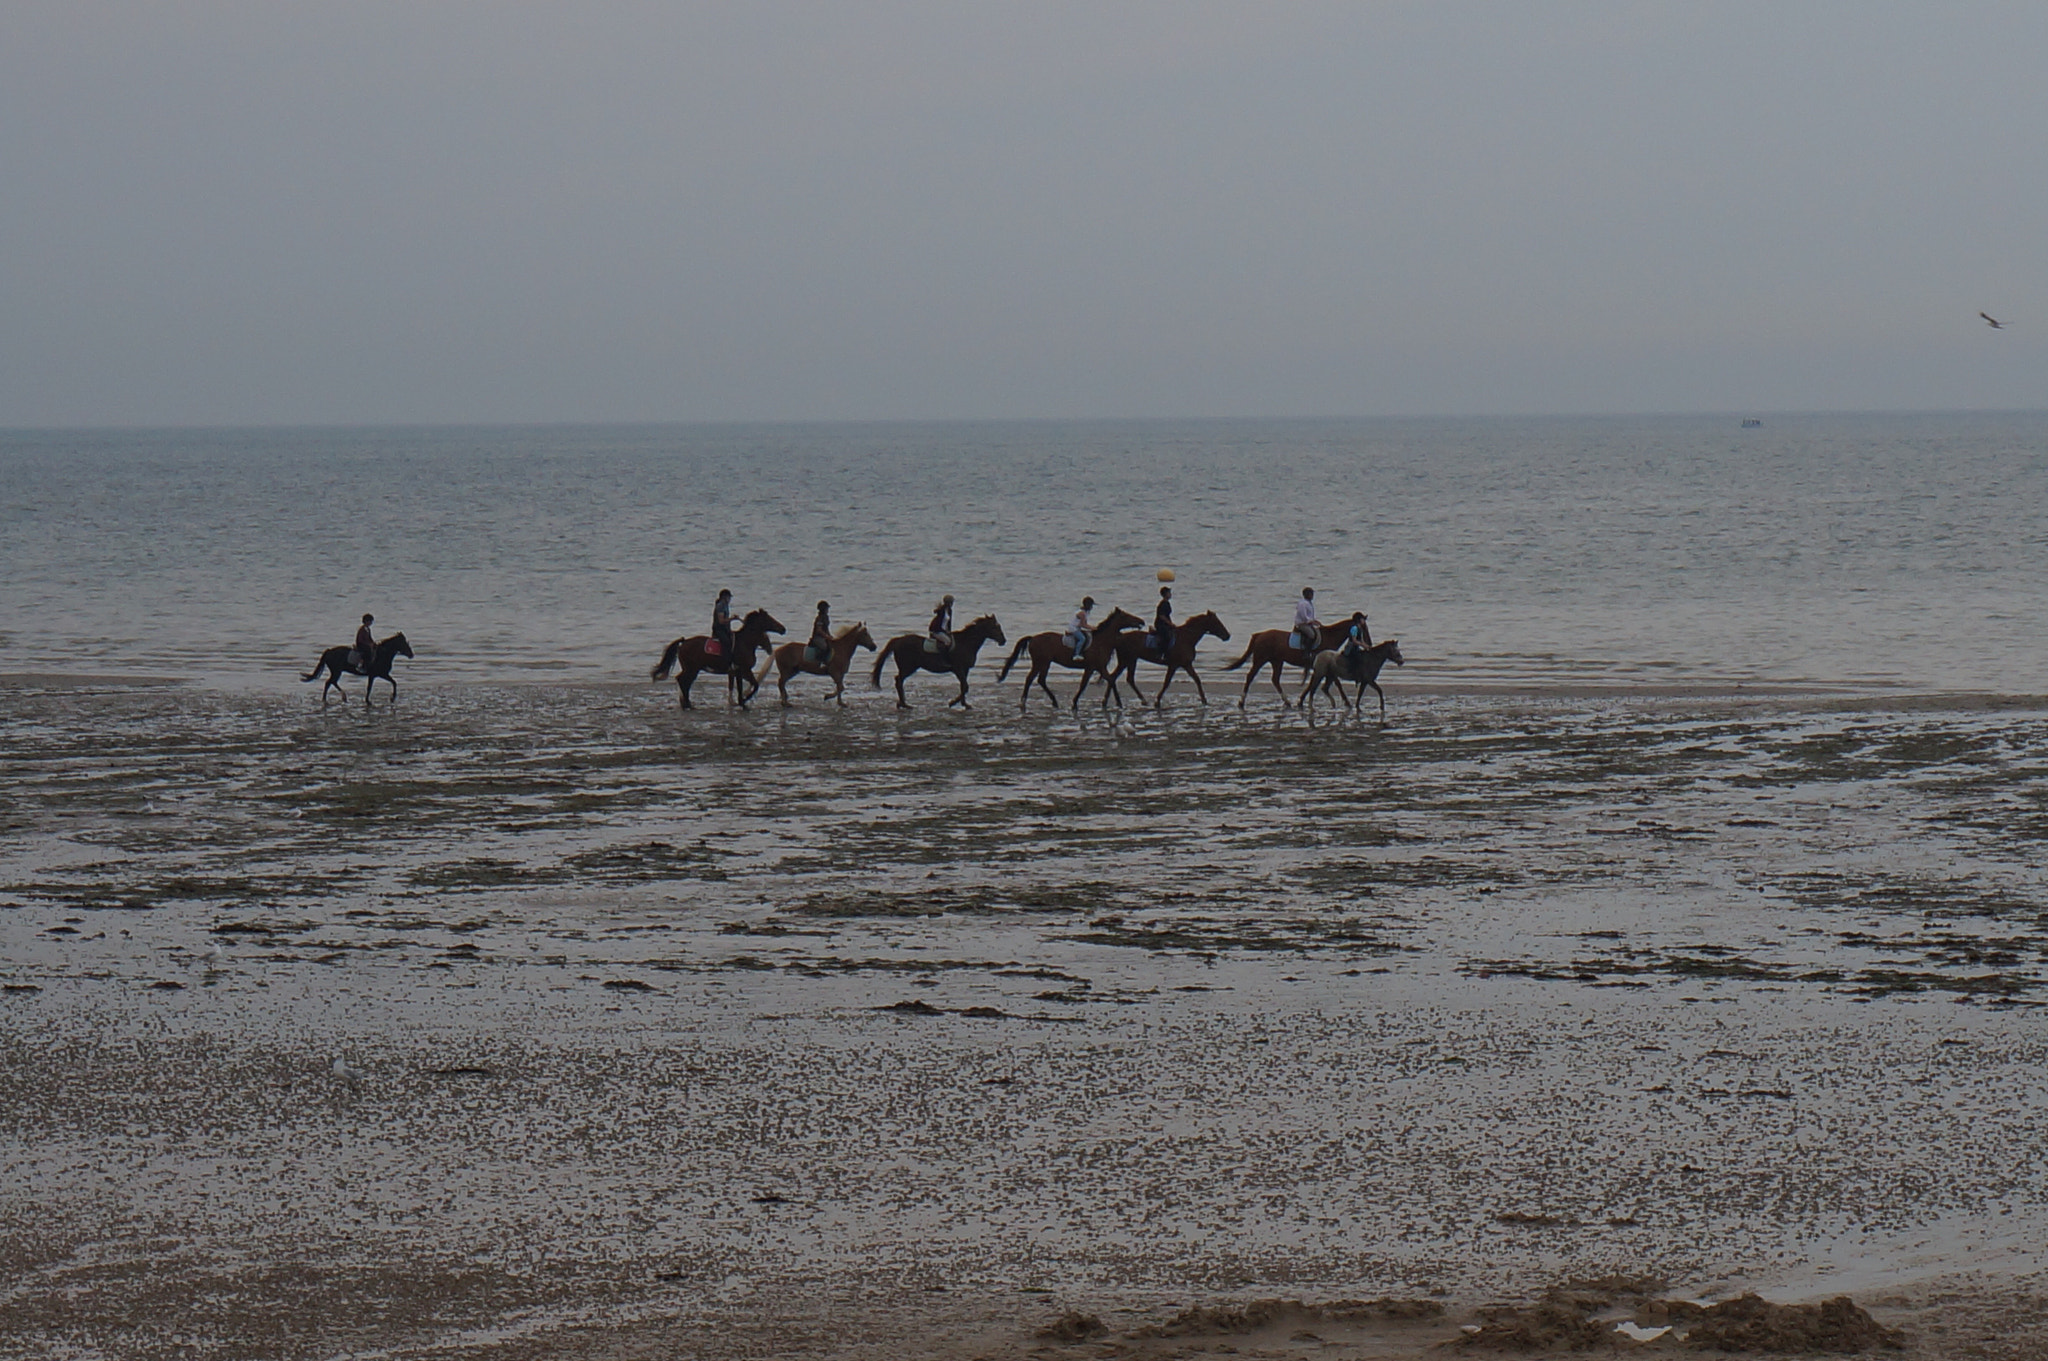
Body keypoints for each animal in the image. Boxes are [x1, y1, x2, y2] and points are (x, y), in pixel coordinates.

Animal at [651, 605, 786, 712]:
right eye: (769, 619)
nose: (783, 629)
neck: (745, 642)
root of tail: (683, 642)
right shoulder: (744, 669)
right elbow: (755, 685)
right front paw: (744, 700)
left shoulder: (738, 671)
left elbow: (740, 686)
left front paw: (741, 702)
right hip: (692, 669)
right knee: (683, 681)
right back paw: (688, 704)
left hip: (692, 669)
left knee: (684, 682)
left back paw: (687, 704)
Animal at [868, 609, 1003, 704]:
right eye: (994, 627)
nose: (1003, 641)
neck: (966, 642)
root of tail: (898, 640)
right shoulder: (958, 668)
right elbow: (965, 686)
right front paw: (953, 703)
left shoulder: (965, 669)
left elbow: (963, 687)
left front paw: (964, 704)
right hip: (908, 667)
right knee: (898, 681)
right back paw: (904, 704)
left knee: (899, 681)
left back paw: (903, 704)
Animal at [995, 605, 1146, 712]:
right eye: (1126, 616)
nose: (1142, 621)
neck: (1102, 641)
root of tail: (1033, 638)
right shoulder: (1098, 666)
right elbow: (1111, 681)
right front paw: (1119, 703)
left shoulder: (1091, 668)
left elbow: (1084, 684)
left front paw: (1074, 703)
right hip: (1041, 662)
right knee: (1031, 679)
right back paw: (1025, 702)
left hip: (1044, 663)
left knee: (1039, 680)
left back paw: (1053, 702)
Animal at [1220, 609, 1368, 704]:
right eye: (1362, 628)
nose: (1367, 642)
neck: (1329, 637)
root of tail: (1259, 635)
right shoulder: (1325, 665)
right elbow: (1334, 682)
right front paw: (1346, 702)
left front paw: (1301, 700)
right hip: (1260, 659)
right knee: (1250, 676)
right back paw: (1241, 701)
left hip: (1277, 661)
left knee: (1275, 679)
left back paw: (1287, 702)